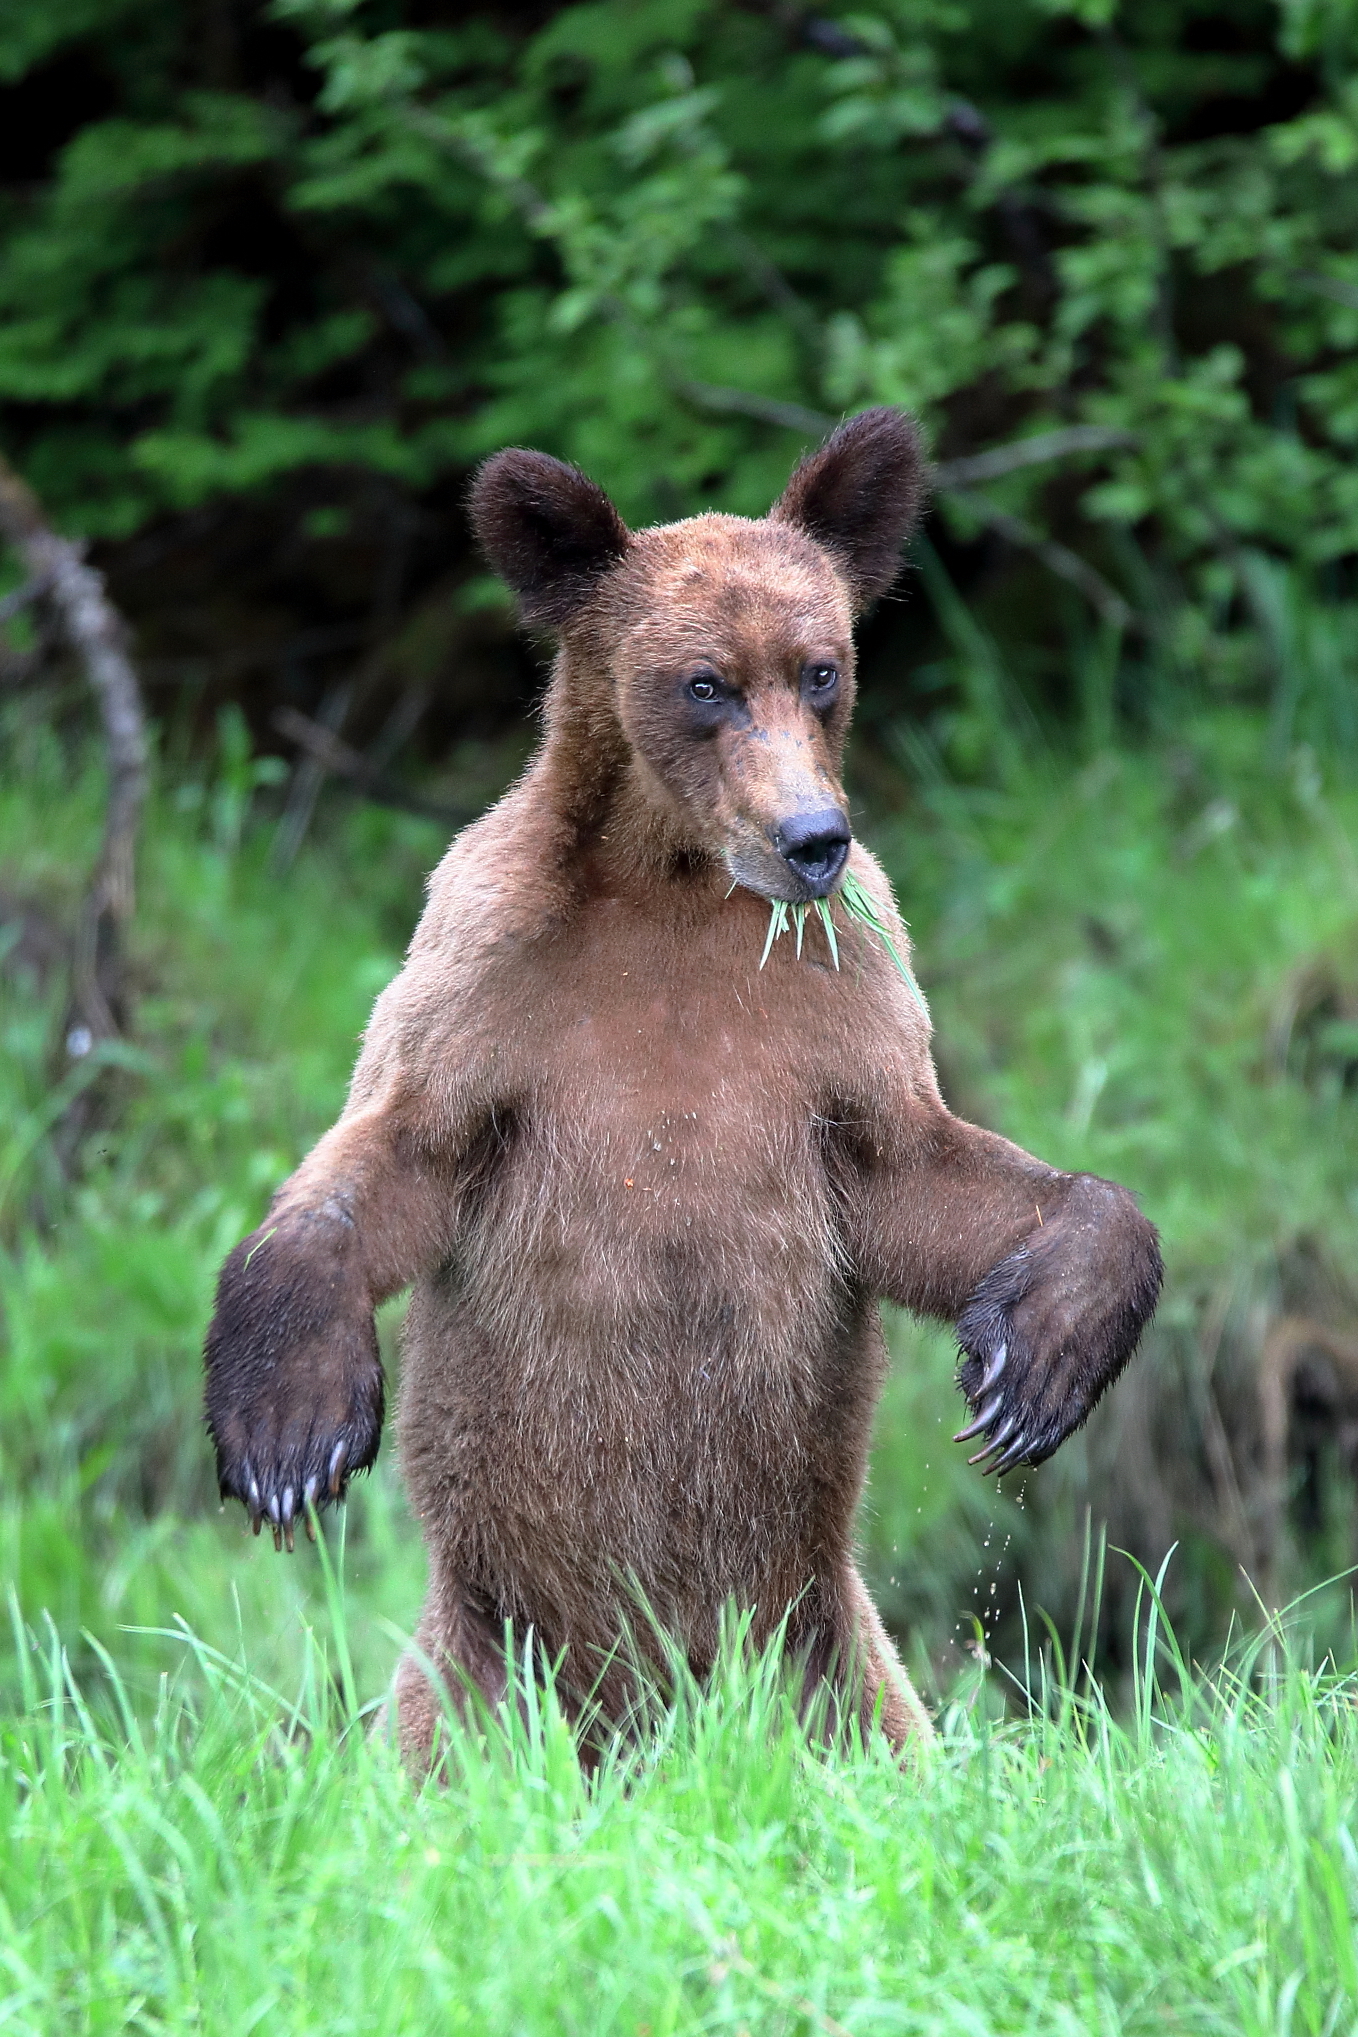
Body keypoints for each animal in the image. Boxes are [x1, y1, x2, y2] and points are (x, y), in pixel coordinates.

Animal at [203, 407, 1162, 1761]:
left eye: (820, 668)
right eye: (701, 681)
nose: (810, 839)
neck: (672, 883)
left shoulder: (835, 1008)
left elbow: (928, 1176)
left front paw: (1029, 1370)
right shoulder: (495, 978)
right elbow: (392, 1152)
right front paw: (288, 1432)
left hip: (825, 1650)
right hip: (486, 1652)